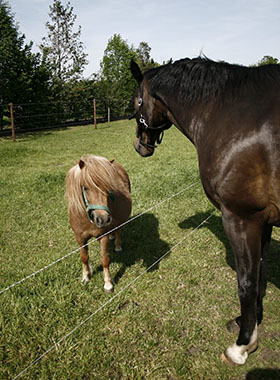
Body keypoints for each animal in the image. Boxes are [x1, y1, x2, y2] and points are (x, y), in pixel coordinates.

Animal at [65, 156, 131, 292]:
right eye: (85, 187)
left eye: (108, 188)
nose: (103, 219)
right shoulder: (79, 237)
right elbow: (84, 257)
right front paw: (86, 277)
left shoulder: (103, 236)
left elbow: (104, 260)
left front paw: (108, 284)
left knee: (117, 231)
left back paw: (117, 245)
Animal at [130, 57, 280, 366]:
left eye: (136, 101)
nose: (139, 145)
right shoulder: (264, 220)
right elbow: (260, 271)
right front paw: (250, 322)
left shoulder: (241, 218)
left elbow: (246, 282)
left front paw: (243, 345)